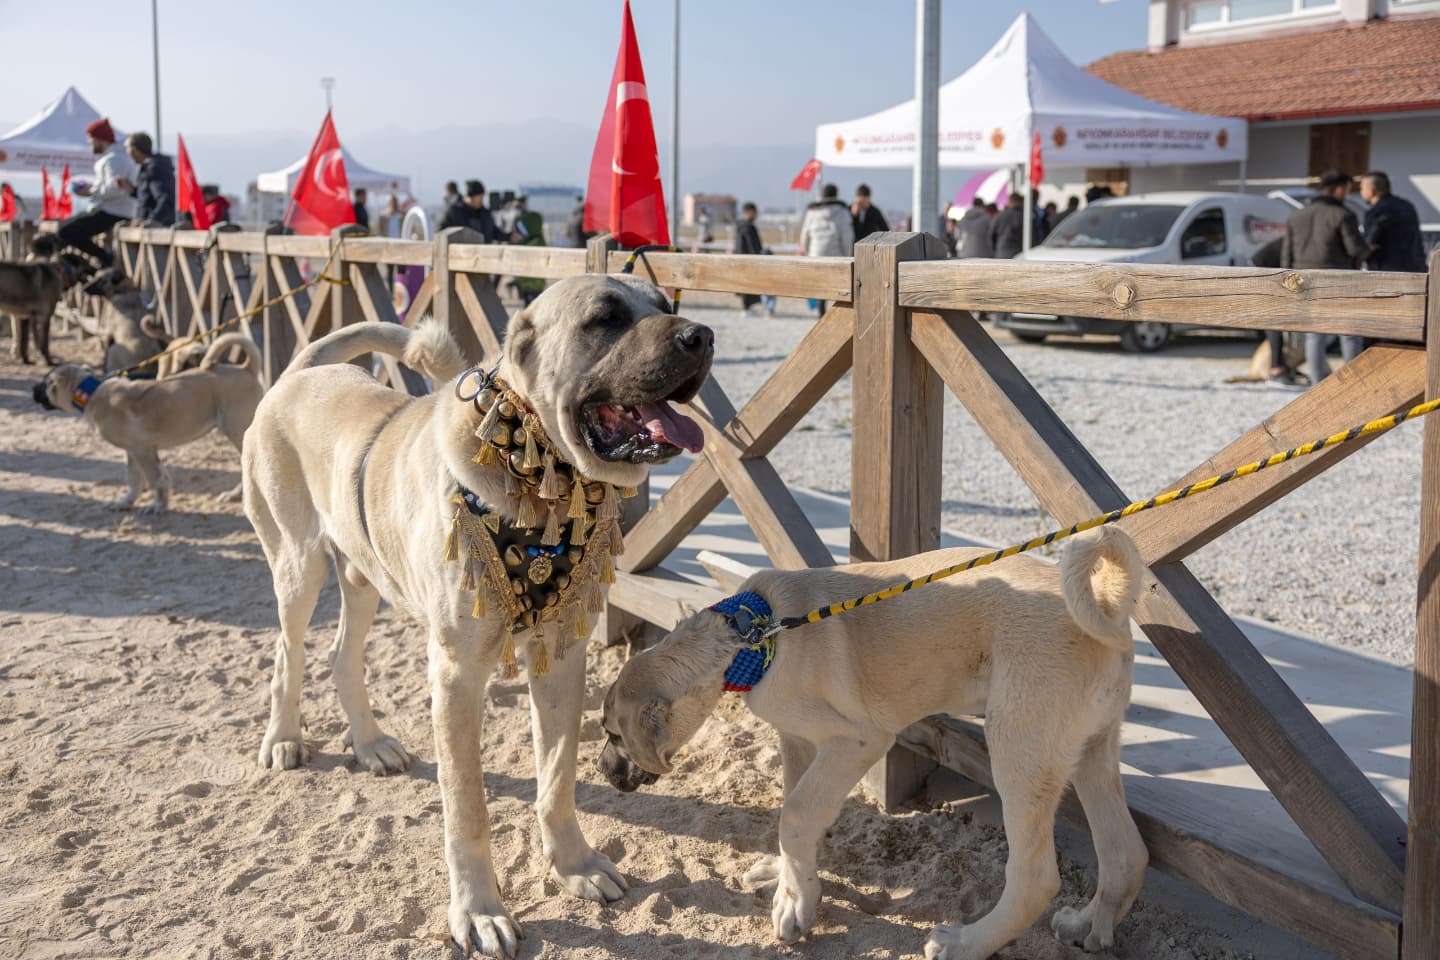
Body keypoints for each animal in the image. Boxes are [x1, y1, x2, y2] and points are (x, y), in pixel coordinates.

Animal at [34, 332, 264, 509]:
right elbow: (136, 479)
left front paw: (157, 506)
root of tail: (246, 368)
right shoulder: (134, 451)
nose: (33, 390)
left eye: (46, 384)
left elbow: (155, 479)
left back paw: (236, 495)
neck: (91, 394)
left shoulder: (142, 449)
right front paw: (125, 503)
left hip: (237, 431)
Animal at [243, 273, 714, 955]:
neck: (538, 478)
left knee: (340, 654)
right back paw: (283, 739)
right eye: (603, 318)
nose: (702, 336)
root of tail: (302, 373)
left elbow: (556, 780)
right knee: (288, 651)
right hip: (297, 563)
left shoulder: (560, 660)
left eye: (665, 304)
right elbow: (467, 807)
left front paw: (574, 866)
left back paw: (371, 743)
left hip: (362, 576)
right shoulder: (457, 675)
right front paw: (479, 911)